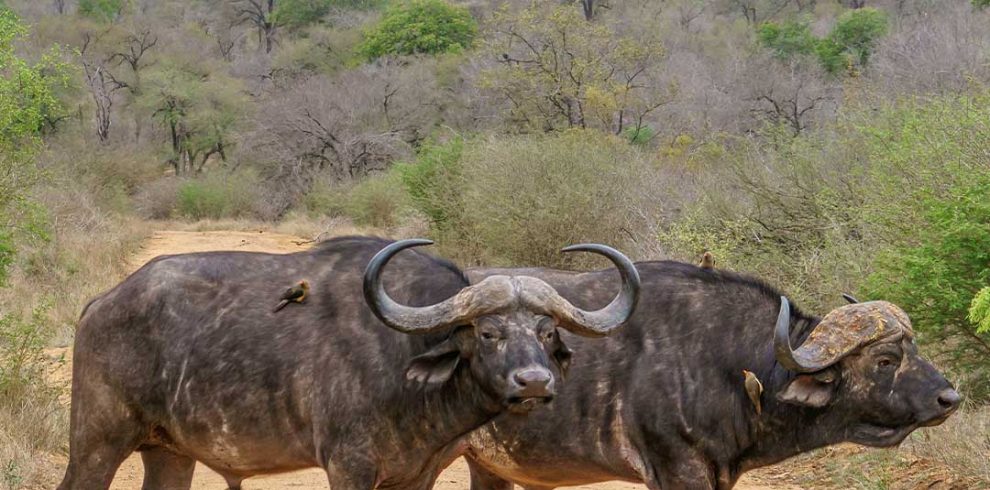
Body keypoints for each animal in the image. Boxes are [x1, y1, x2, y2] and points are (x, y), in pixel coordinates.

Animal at [56, 235, 644, 488]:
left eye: (546, 332)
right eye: (487, 332)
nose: (534, 383)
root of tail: (101, 303)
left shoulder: (416, 476)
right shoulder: (350, 468)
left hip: (169, 454)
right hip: (95, 446)